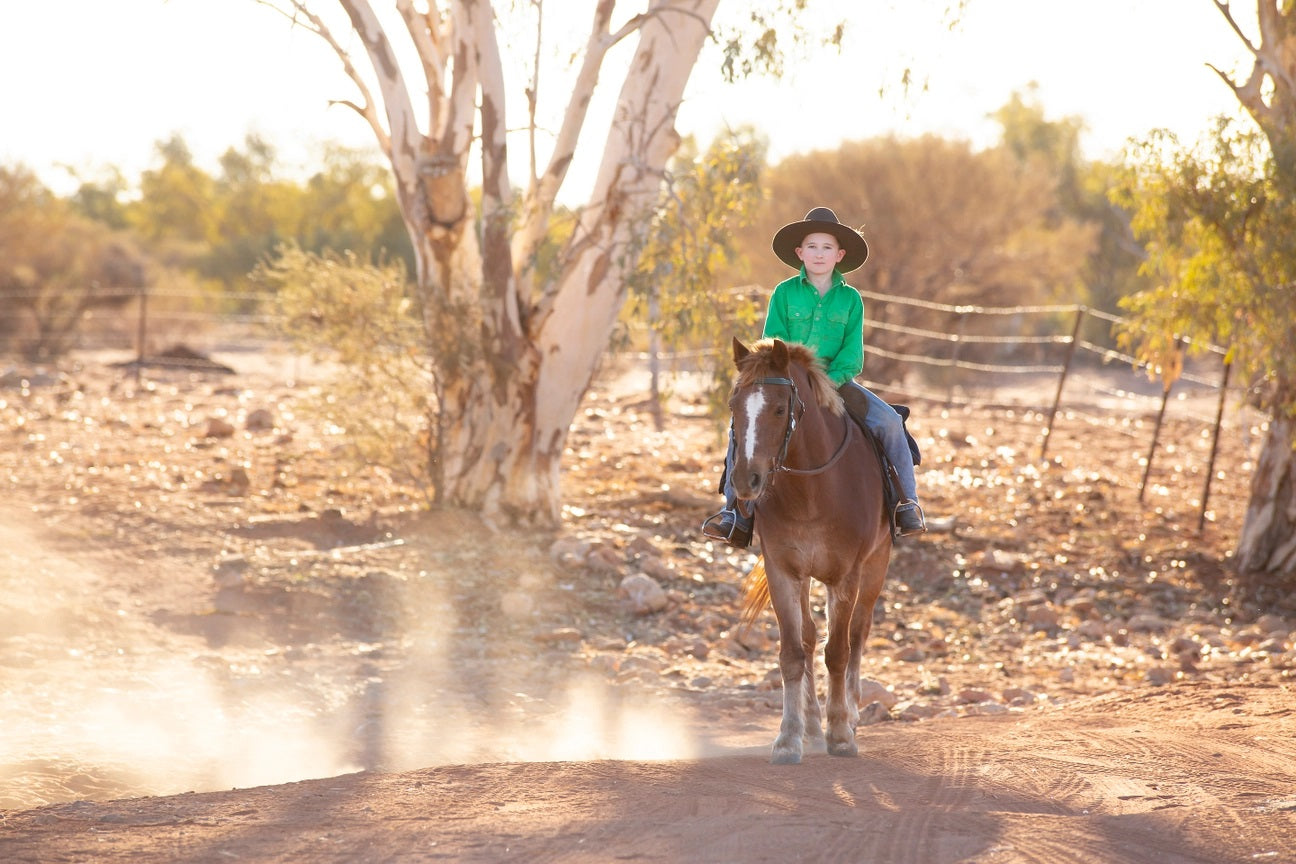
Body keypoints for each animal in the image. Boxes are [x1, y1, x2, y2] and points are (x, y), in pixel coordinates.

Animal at [730, 336, 891, 761]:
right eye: (734, 405)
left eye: (779, 408)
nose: (746, 480)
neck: (813, 492)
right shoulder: (783, 571)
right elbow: (793, 653)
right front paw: (789, 738)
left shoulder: (846, 576)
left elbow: (838, 651)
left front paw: (841, 734)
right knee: (808, 638)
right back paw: (813, 728)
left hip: (877, 566)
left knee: (858, 633)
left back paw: (850, 713)